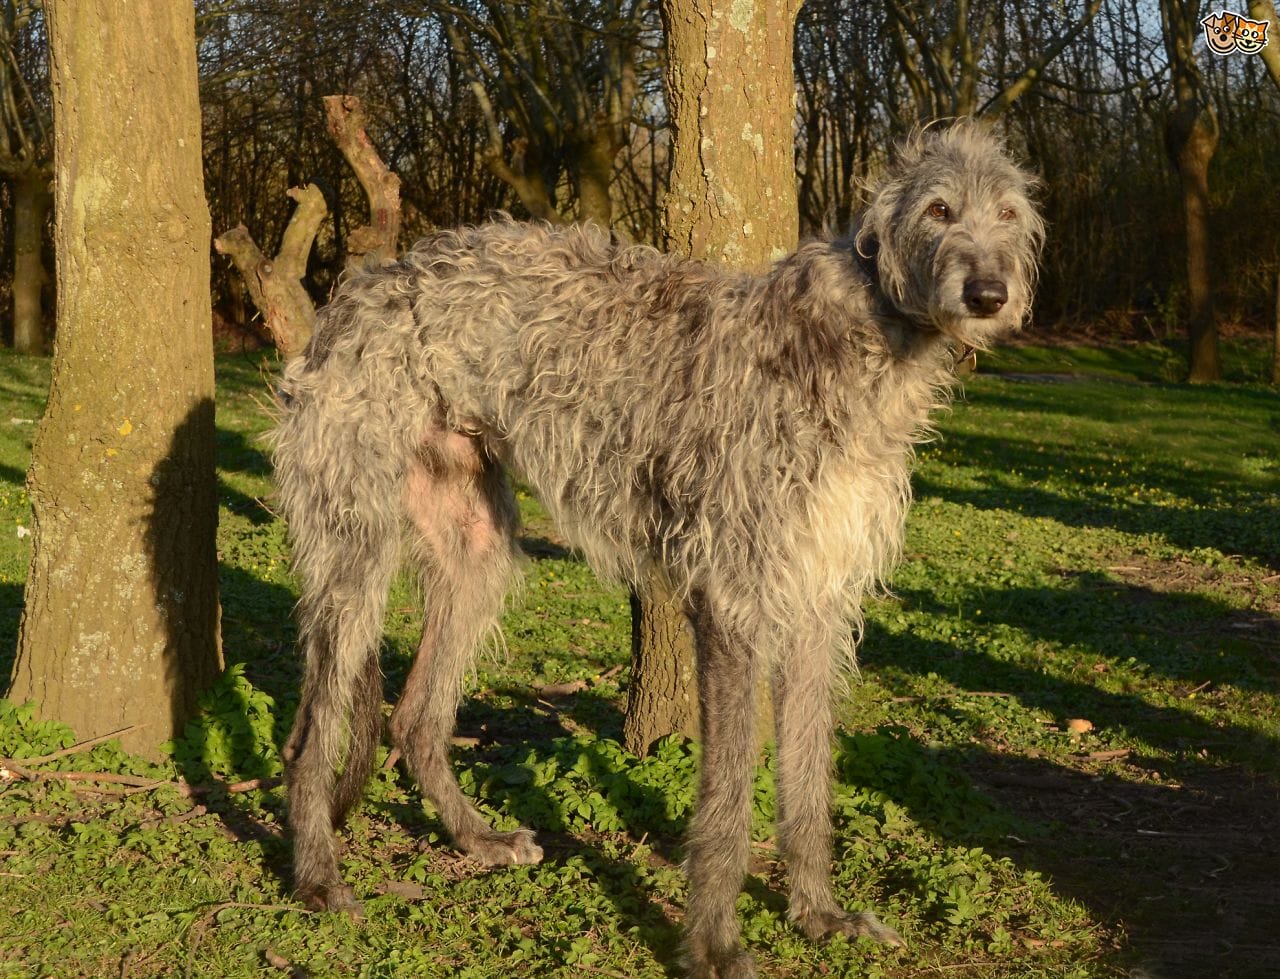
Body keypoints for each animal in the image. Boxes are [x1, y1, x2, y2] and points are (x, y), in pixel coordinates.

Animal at [270, 122, 1039, 977]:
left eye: (1009, 213)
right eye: (939, 209)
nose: (989, 295)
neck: (862, 334)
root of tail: (363, 287)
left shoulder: (816, 602)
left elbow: (809, 777)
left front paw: (819, 914)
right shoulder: (733, 605)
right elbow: (729, 795)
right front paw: (714, 942)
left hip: (474, 549)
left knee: (415, 717)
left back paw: (478, 838)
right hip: (355, 550)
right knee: (310, 736)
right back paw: (318, 876)